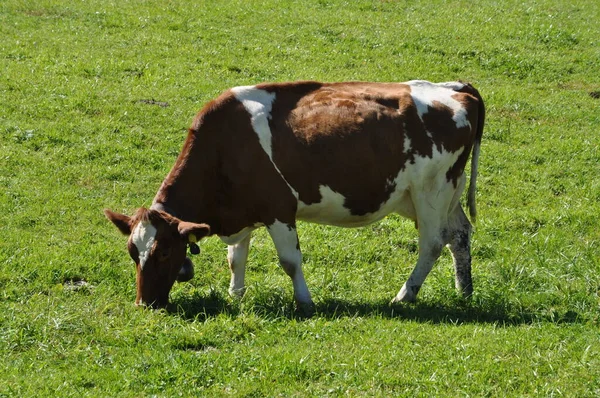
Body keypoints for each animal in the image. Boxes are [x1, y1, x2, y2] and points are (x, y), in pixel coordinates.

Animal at [105, 81, 486, 310]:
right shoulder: (243, 210)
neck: (225, 143)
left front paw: (304, 301)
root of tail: (454, 88)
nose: (144, 304)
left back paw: (404, 295)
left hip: (431, 191)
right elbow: (236, 258)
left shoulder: (279, 209)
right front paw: (236, 295)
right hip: (435, 194)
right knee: (459, 235)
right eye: (132, 253)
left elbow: (290, 261)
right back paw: (464, 290)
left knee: (432, 244)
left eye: (165, 252)